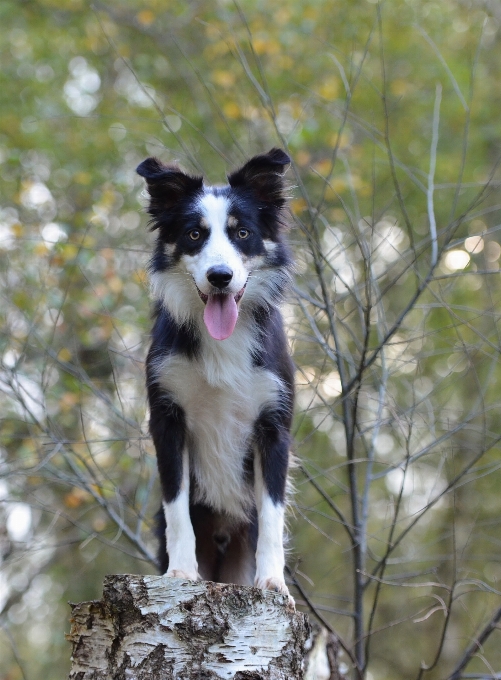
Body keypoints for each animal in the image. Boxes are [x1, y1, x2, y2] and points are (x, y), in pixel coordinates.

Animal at [136, 147, 292, 600]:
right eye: (194, 235)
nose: (220, 277)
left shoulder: (274, 424)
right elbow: (176, 508)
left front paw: (273, 580)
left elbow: (273, 513)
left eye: (242, 233)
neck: (223, 338)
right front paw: (181, 572)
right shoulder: (167, 418)